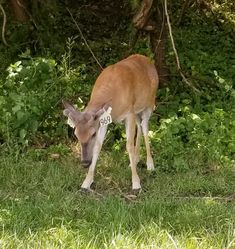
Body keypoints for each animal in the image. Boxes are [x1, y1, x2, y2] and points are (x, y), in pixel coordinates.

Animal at [62, 54, 159, 190]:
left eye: (93, 133)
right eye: (76, 134)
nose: (85, 163)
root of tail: (147, 59)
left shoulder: (129, 113)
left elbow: (128, 145)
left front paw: (136, 183)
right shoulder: (104, 120)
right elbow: (98, 147)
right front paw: (86, 182)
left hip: (149, 104)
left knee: (145, 128)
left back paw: (150, 165)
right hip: (137, 111)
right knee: (139, 127)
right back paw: (135, 161)